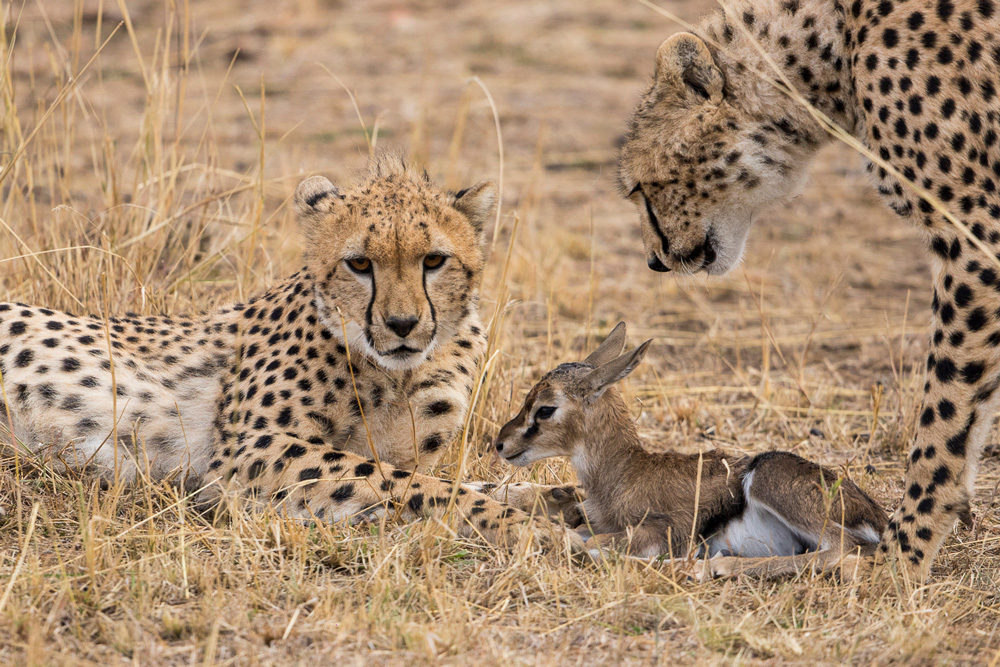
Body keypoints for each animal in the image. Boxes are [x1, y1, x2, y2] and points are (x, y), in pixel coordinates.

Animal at [0, 153, 584, 552]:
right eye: (359, 264)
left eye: (434, 260)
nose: (401, 324)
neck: (396, 372)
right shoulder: (248, 452)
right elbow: (411, 484)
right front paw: (521, 526)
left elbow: (437, 477)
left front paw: (556, 499)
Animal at [616, 0, 1000, 580]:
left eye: (639, 187)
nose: (652, 261)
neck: (832, 48)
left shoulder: (977, 235)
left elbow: (947, 409)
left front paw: (902, 557)